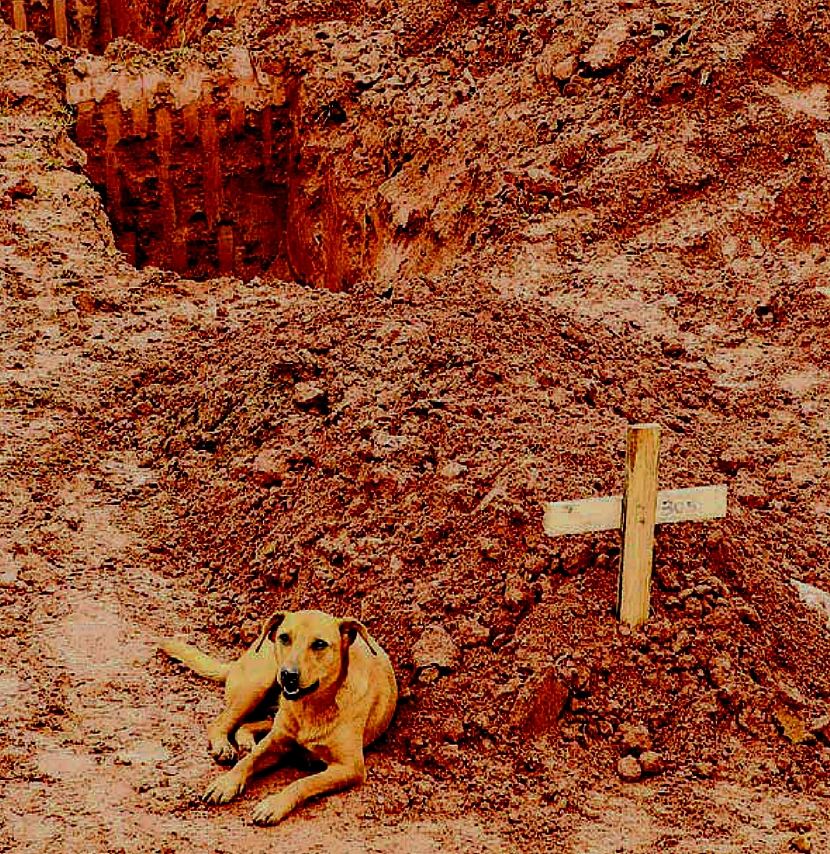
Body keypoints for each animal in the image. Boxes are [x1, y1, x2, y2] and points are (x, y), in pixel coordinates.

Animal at [162, 612, 400, 824]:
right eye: (285, 638)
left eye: (320, 644)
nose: (288, 674)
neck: (311, 706)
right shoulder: (276, 742)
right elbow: (249, 760)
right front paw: (226, 782)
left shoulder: (350, 768)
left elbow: (304, 782)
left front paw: (273, 805)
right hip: (257, 685)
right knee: (221, 722)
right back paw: (224, 745)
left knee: (247, 725)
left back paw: (245, 740)